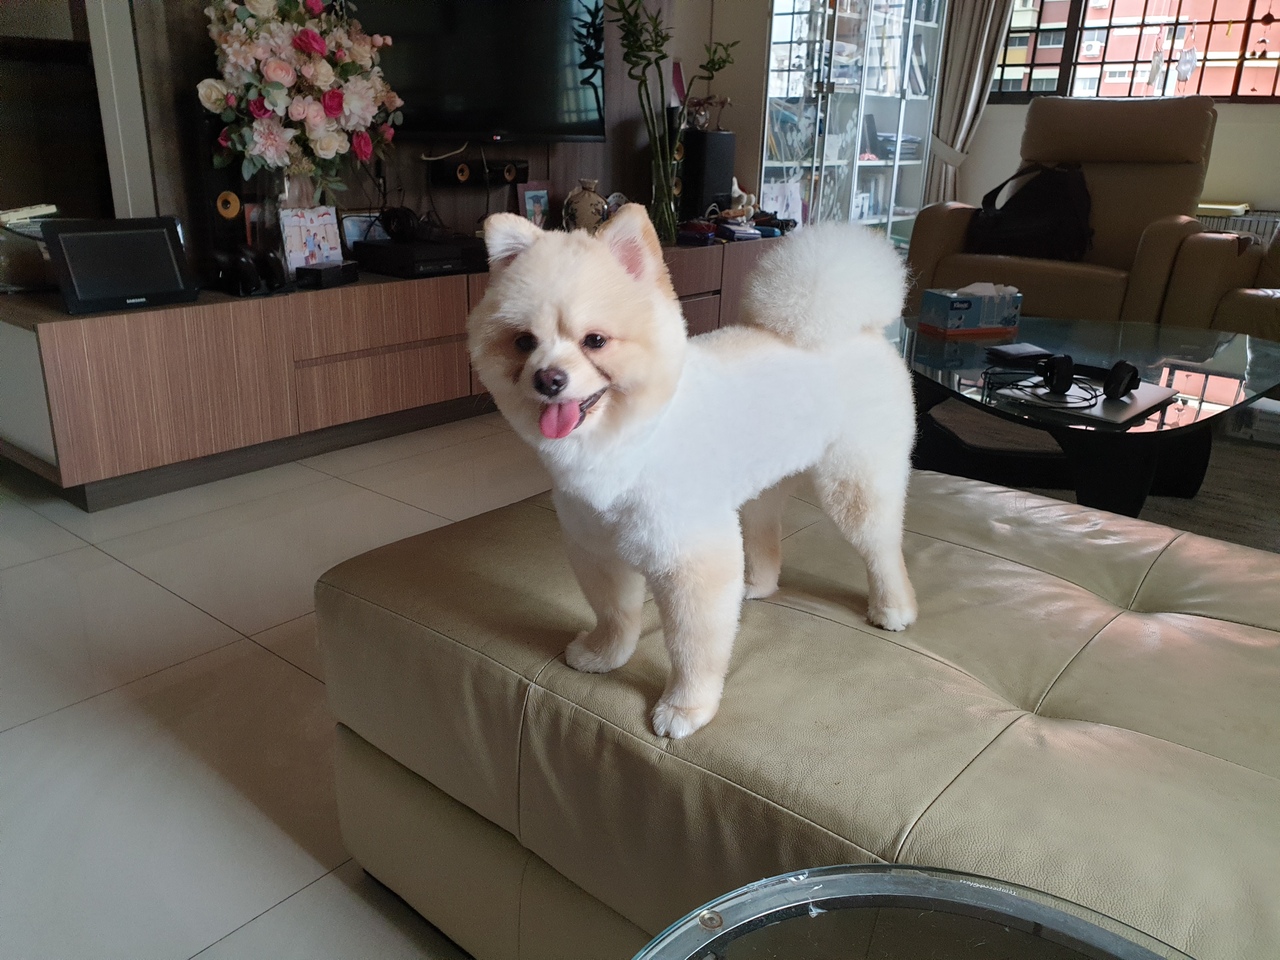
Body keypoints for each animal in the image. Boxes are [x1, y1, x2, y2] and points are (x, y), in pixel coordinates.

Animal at [467, 204, 917, 738]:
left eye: (595, 340)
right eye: (523, 342)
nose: (548, 378)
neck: (627, 444)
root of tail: (860, 329)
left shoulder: (691, 561)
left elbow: (693, 646)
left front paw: (687, 707)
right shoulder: (597, 549)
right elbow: (616, 614)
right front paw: (605, 656)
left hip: (855, 483)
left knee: (881, 545)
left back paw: (893, 607)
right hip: (761, 482)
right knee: (765, 528)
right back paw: (756, 585)